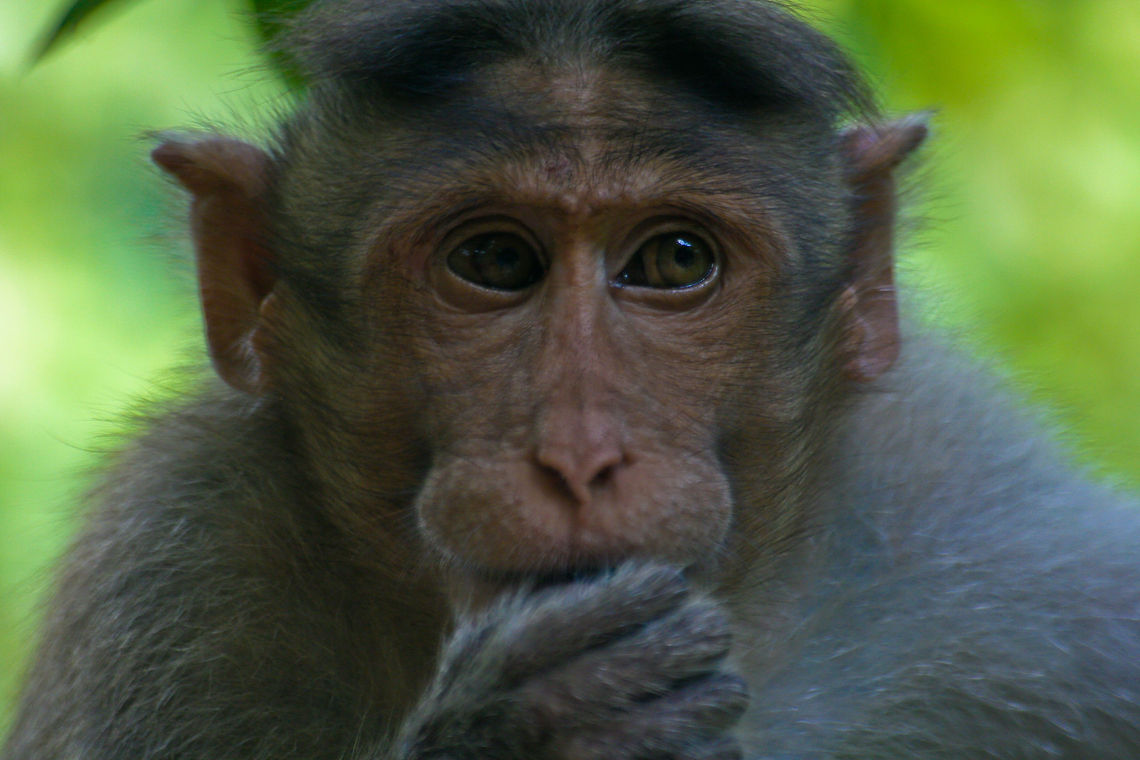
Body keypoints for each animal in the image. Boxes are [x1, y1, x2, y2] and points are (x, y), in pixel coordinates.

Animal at [5, 0, 1140, 758]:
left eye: (675, 260)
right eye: (495, 260)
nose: (581, 455)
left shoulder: (1006, 539)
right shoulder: (171, 565)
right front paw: (527, 730)